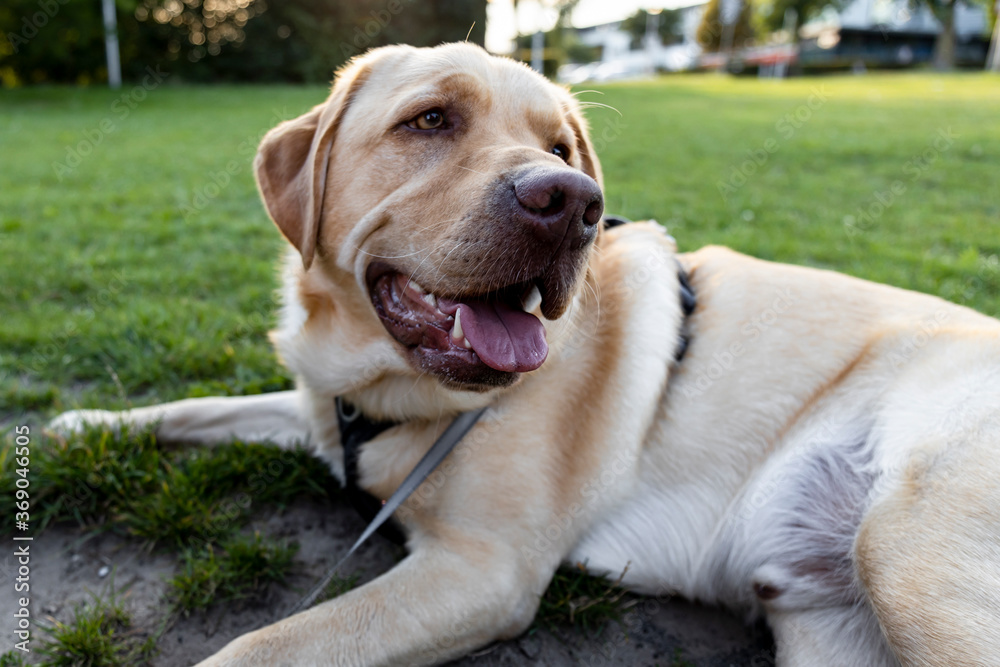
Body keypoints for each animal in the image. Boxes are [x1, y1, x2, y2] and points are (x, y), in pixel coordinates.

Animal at [52, 44, 1000, 664]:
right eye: (429, 119)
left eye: (560, 149)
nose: (575, 201)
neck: (384, 383)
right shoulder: (317, 407)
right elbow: (204, 404)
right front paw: (82, 423)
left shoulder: (481, 570)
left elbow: (259, 647)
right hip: (826, 622)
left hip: (905, 553)